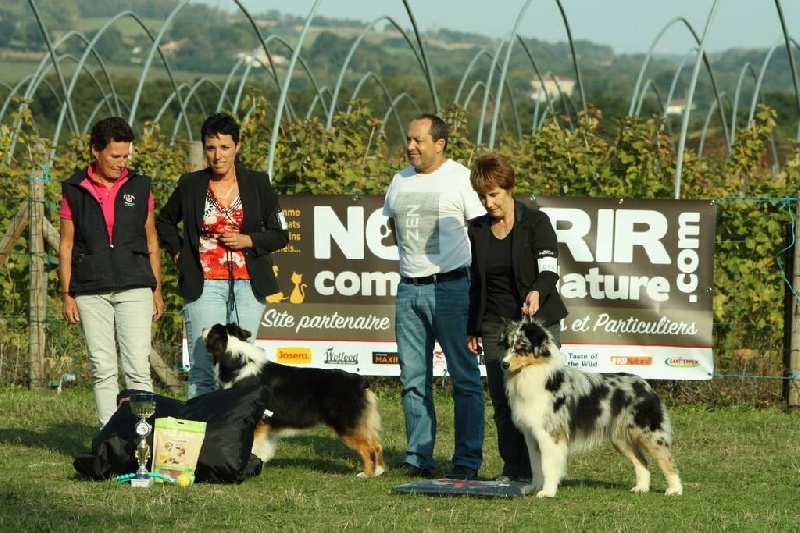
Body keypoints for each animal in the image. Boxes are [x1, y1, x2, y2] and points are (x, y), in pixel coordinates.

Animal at [202, 322, 385, 478]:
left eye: (211, 331)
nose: (203, 328)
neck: (238, 361)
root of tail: (359, 381)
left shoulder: (257, 422)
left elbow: (253, 447)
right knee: (377, 445)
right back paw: (379, 472)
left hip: (346, 426)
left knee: (368, 448)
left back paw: (366, 475)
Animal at [501, 319, 683, 498]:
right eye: (508, 345)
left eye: (521, 347)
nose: (504, 364)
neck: (535, 374)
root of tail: (645, 384)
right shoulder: (532, 435)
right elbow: (536, 466)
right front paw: (533, 488)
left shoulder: (551, 435)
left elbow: (548, 467)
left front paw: (547, 492)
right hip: (621, 438)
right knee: (642, 462)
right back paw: (641, 488)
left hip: (649, 433)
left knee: (667, 461)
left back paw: (675, 490)